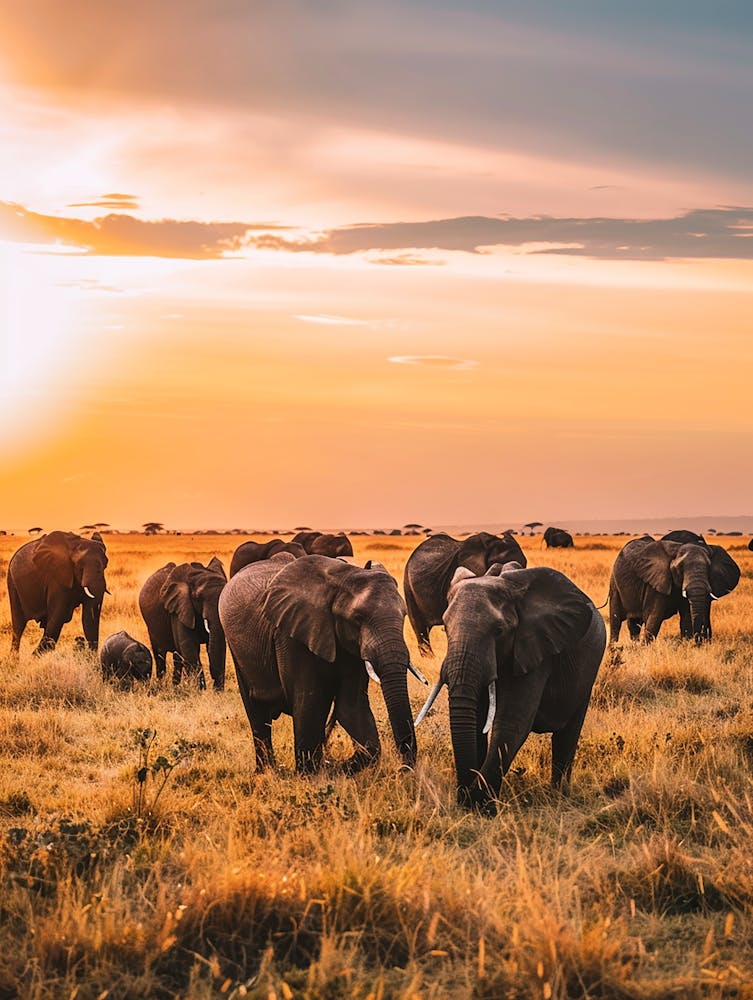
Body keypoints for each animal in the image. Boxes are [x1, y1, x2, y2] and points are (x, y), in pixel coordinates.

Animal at [138, 557, 228, 689]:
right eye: (197, 598)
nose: (215, 686)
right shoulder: (178, 607)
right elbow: (189, 647)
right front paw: (202, 691)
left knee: (177, 657)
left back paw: (175, 687)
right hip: (151, 627)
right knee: (160, 654)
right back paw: (161, 686)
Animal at [219, 554, 424, 774]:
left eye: (404, 615)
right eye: (357, 618)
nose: (403, 769)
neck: (342, 578)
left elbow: (351, 706)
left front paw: (335, 767)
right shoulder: (291, 635)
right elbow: (308, 701)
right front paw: (310, 774)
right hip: (236, 648)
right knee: (257, 712)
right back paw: (267, 772)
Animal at [415, 563, 605, 810]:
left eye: (499, 631)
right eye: (445, 628)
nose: (461, 797)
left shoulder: (535, 649)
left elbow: (511, 723)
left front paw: (480, 805)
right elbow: (478, 720)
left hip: (587, 674)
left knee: (568, 733)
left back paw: (559, 795)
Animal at [609, 535, 740, 644]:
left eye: (708, 568)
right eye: (680, 568)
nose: (698, 643)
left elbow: (686, 617)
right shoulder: (655, 582)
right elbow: (653, 616)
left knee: (634, 624)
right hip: (614, 584)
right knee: (616, 622)